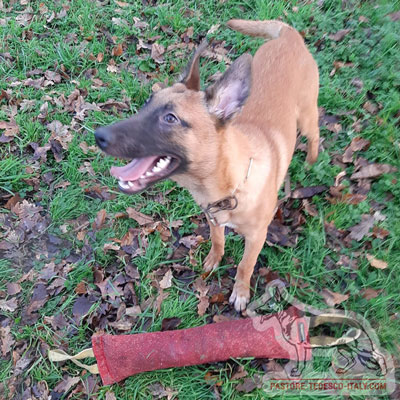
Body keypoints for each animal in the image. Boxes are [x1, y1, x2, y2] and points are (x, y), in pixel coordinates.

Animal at [94, 18, 318, 312]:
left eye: (170, 118)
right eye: (146, 104)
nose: (98, 136)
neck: (229, 183)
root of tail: (288, 34)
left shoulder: (257, 237)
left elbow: (245, 265)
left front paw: (241, 291)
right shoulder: (212, 218)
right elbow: (218, 240)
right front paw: (214, 260)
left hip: (307, 115)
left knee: (315, 135)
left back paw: (312, 161)